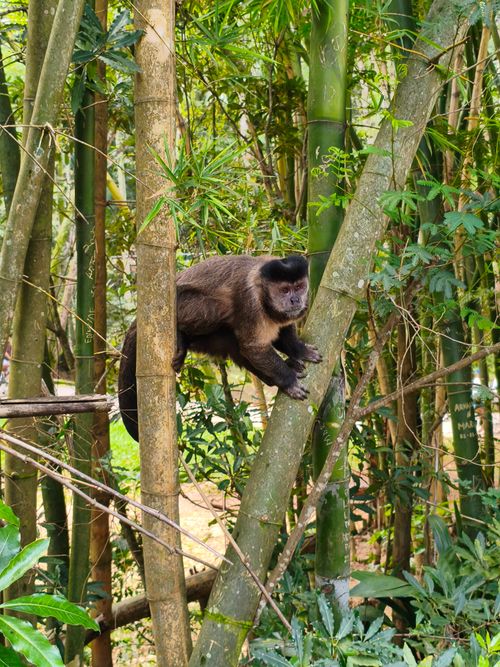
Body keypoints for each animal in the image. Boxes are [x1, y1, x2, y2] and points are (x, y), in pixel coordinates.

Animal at [118, 255, 321, 441]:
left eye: (299, 287)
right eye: (285, 290)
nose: (295, 300)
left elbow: (282, 333)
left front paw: (300, 351)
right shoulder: (250, 302)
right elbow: (253, 347)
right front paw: (289, 381)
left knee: (232, 342)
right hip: (180, 305)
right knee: (219, 307)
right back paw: (180, 336)